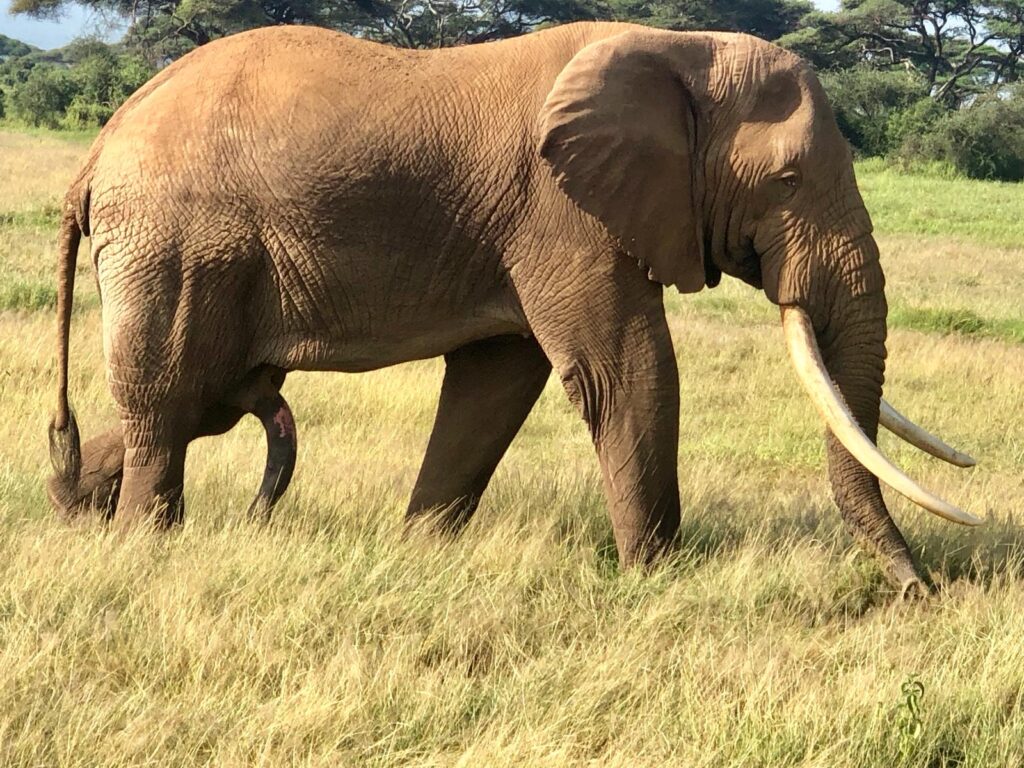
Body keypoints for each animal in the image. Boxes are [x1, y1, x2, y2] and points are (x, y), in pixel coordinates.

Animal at [47, 21, 981, 595]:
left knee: (197, 401)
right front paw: (660, 580)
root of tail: (99, 145)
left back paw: (74, 512)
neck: (678, 51)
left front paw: (421, 554)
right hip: (178, 243)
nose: (920, 592)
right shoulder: (562, 212)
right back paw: (141, 546)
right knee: (169, 401)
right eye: (786, 181)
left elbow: (494, 386)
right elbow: (622, 370)